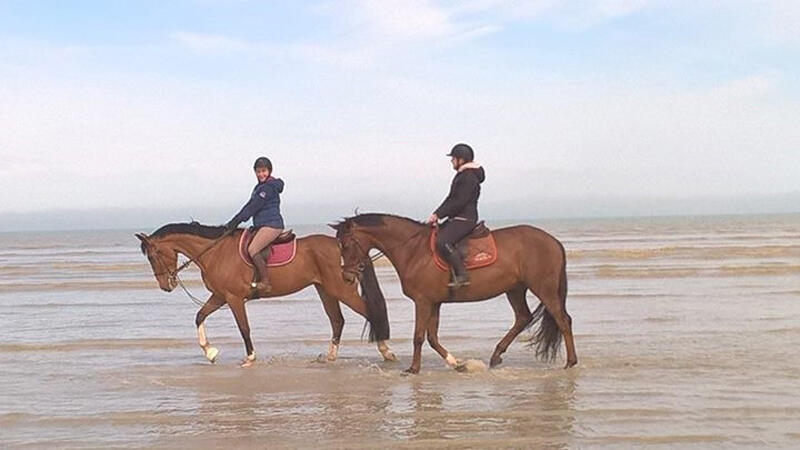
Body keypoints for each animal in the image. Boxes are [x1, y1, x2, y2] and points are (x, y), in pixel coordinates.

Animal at [136, 221, 396, 366]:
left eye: (153, 255)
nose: (165, 285)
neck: (215, 252)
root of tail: (345, 248)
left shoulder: (234, 298)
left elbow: (244, 328)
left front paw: (249, 358)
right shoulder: (220, 296)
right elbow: (199, 316)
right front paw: (210, 352)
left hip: (341, 289)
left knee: (368, 313)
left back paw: (386, 352)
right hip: (326, 290)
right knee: (337, 320)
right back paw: (331, 357)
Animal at [328, 214, 580, 372]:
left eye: (346, 244)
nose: (347, 277)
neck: (414, 250)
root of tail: (555, 242)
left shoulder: (423, 301)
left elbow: (419, 336)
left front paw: (413, 369)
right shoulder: (435, 302)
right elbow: (432, 337)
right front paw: (457, 363)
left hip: (544, 288)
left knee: (562, 320)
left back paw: (570, 362)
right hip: (515, 289)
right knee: (523, 318)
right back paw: (496, 356)